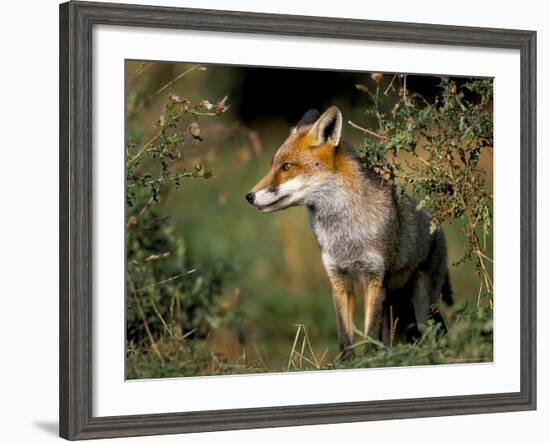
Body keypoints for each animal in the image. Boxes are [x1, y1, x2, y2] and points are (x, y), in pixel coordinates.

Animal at [248, 107, 454, 360]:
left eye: (286, 167)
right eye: (273, 165)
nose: (249, 196)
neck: (344, 236)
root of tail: (436, 225)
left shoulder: (374, 279)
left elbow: (370, 335)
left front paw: (370, 362)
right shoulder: (339, 279)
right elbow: (345, 336)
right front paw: (347, 363)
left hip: (424, 304)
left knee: (436, 331)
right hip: (394, 304)